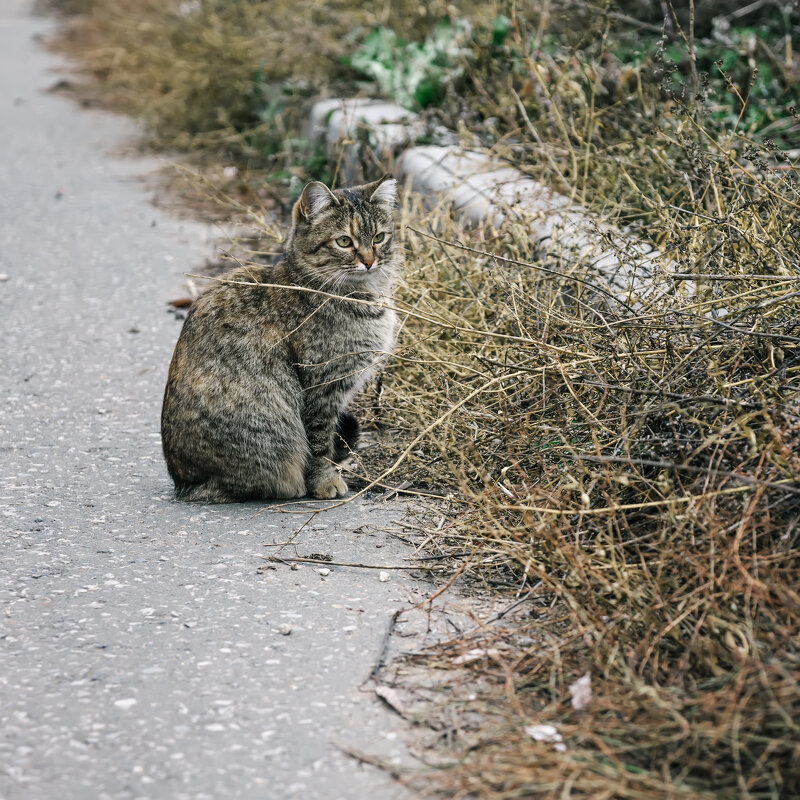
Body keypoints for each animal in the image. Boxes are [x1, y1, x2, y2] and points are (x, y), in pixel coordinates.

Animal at [161, 177, 400, 500]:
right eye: (344, 241)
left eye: (378, 237)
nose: (369, 261)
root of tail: (183, 483)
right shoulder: (321, 387)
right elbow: (319, 443)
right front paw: (325, 481)